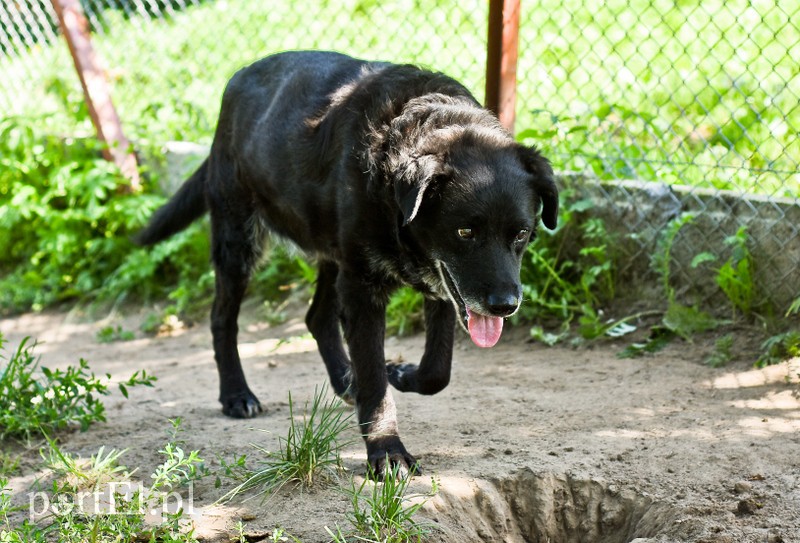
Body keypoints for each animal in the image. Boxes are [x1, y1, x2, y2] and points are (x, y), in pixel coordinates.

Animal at [136, 51, 556, 476]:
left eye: (521, 234)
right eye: (465, 232)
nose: (505, 306)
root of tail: (239, 76)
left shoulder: (439, 284)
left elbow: (437, 370)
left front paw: (401, 375)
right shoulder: (364, 288)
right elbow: (374, 374)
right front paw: (386, 450)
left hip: (332, 255)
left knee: (316, 317)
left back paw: (345, 382)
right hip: (239, 242)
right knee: (223, 318)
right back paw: (237, 394)